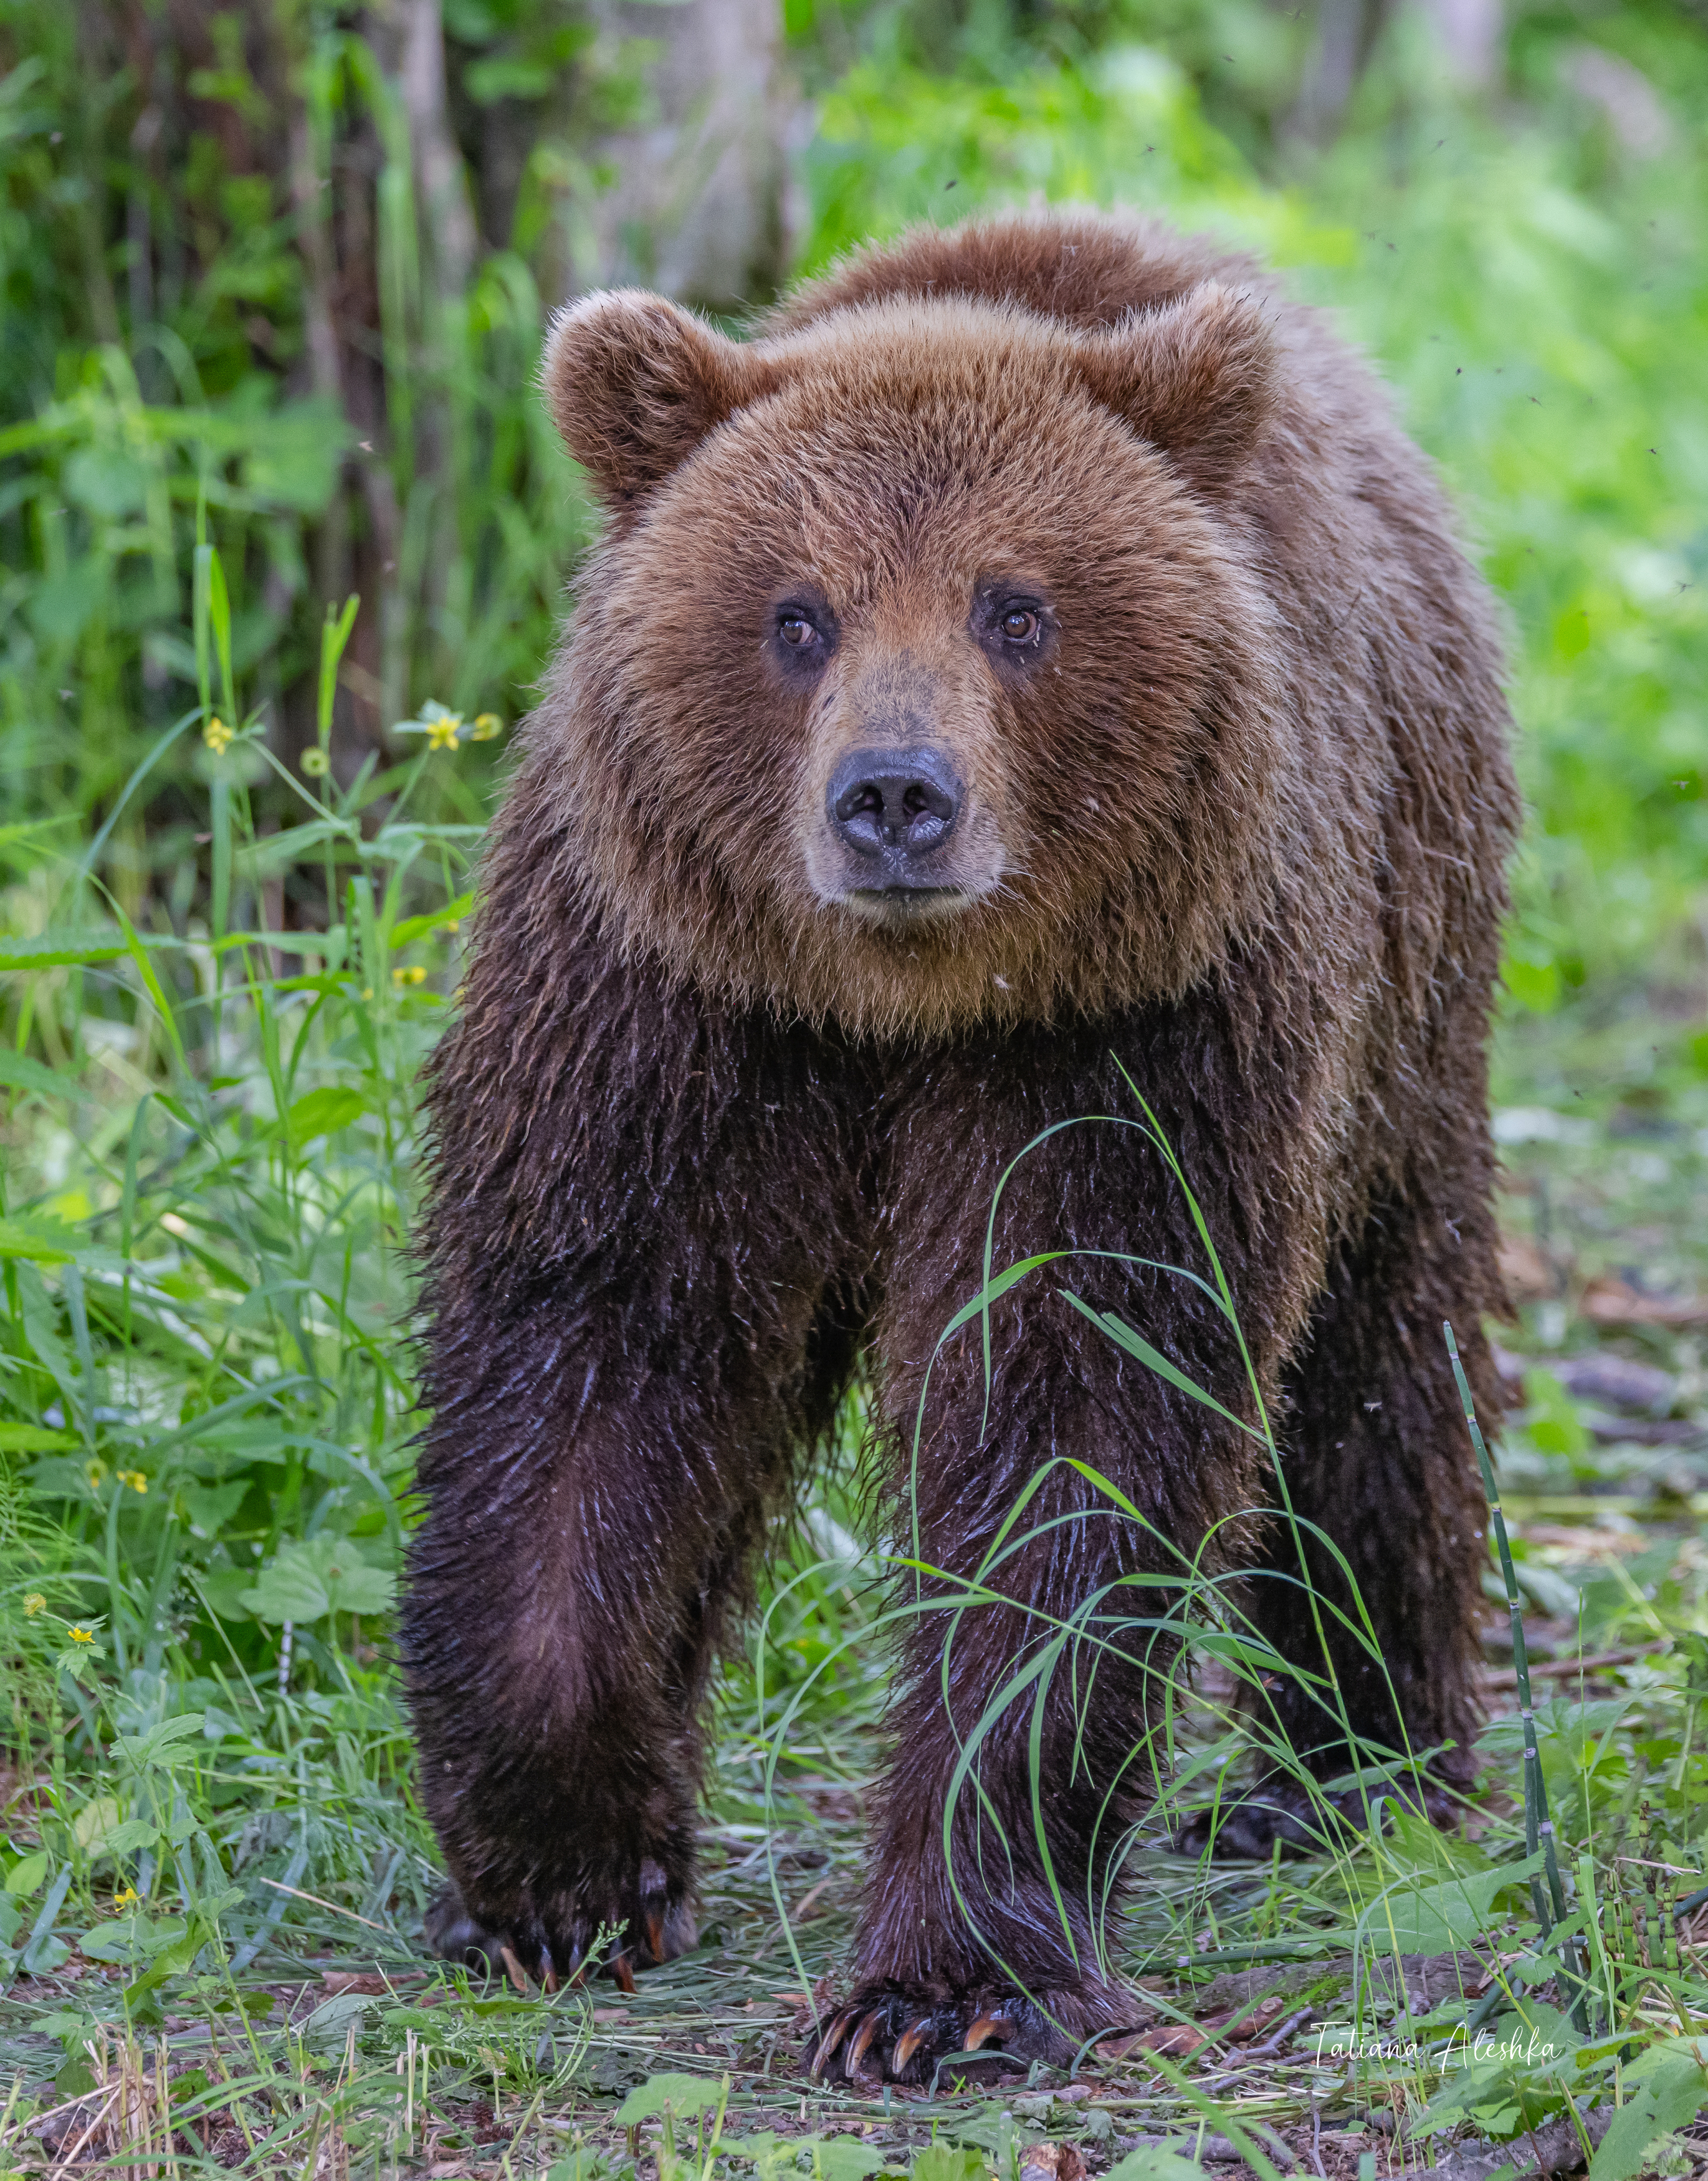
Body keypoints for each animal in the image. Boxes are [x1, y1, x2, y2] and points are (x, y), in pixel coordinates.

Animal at [403, 205, 1527, 2076]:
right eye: (795, 613)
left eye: (1016, 607)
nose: (893, 796)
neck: (898, 1010)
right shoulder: (671, 1000)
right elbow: (597, 1350)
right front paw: (560, 1872)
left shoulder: (1128, 1033)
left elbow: (1073, 1410)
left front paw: (945, 1982)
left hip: (1404, 973)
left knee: (1378, 1362)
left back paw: (1348, 1770)